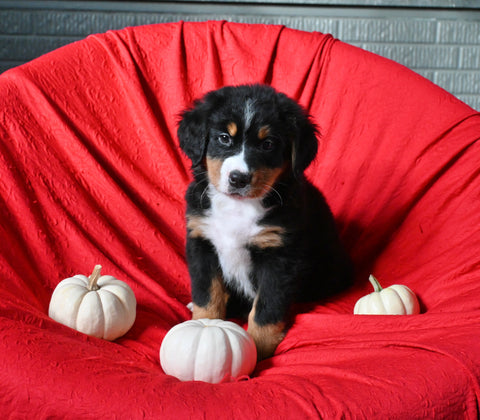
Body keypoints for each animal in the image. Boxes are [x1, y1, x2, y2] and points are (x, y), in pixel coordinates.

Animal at [178, 83, 350, 360]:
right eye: (224, 138)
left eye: (268, 144)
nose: (239, 178)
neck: (237, 207)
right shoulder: (202, 241)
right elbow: (207, 295)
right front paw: (203, 325)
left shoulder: (280, 256)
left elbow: (267, 307)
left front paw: (259, 347)